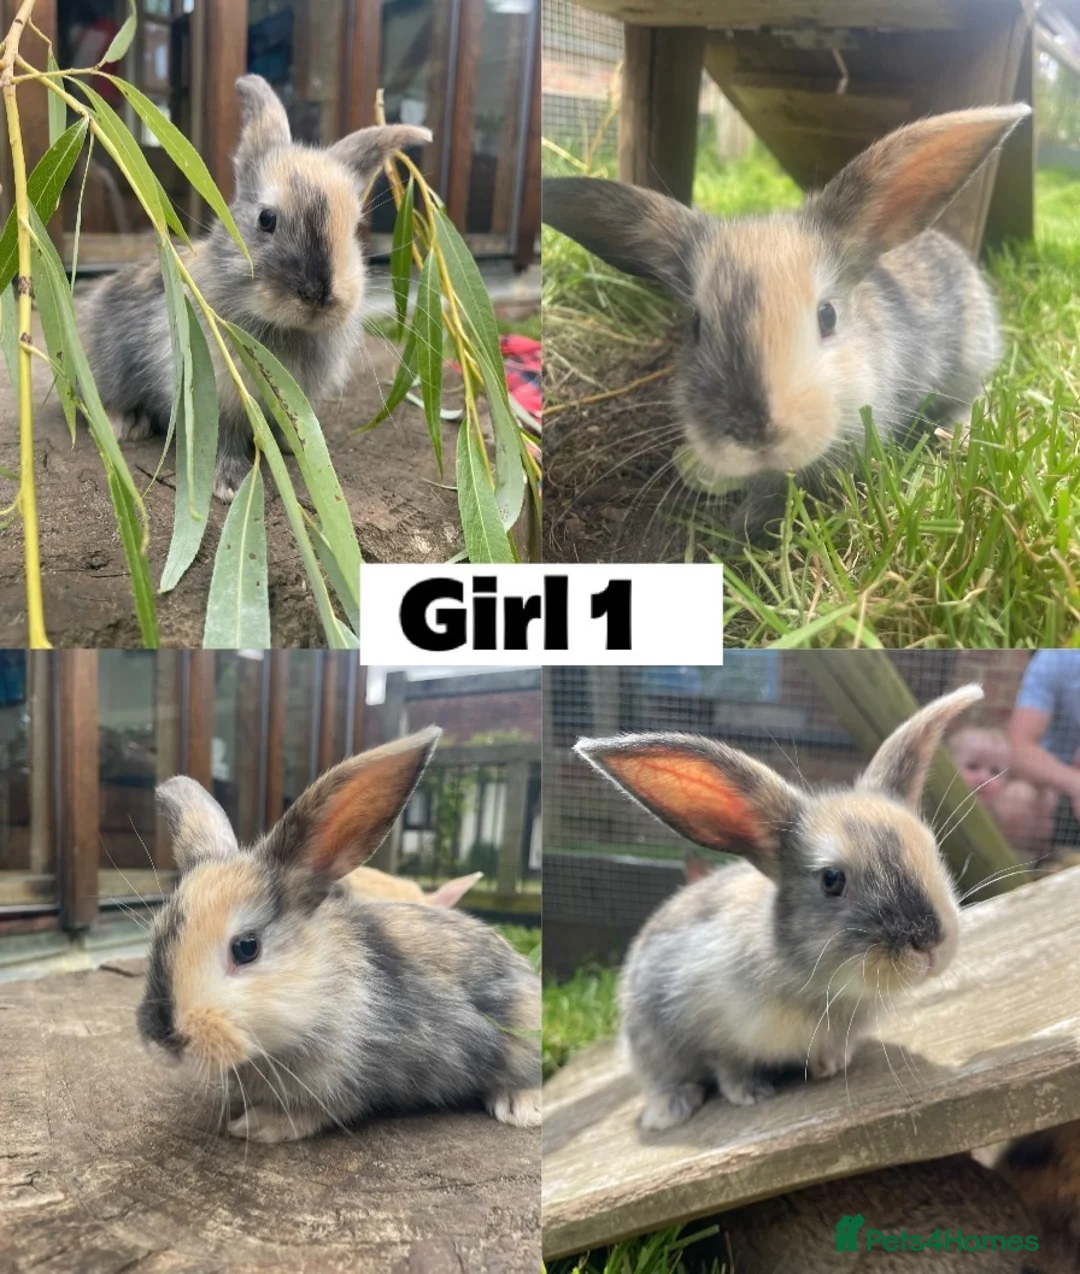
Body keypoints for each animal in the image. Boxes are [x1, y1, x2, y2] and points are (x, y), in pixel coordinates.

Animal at [82, 75, 431, 501]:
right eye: (266, 219)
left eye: (353, 228)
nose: (318, 296)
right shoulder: (218, 394)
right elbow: (224, 438)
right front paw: (231, 486)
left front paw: (293, 447)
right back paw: (127, 424)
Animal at [136, 726, 541, 1143]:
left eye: (246, 948)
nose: (163, 1039)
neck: (325, 991)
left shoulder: (347, 1079)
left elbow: (319, 1110)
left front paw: (257, 1125)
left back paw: (520, 1108)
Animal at [574, 683, 982, 1132]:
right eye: (831, 879)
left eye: (931, 850)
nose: (930, 943)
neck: (825, 988)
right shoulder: (710, 1027)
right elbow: (726, 1064)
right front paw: (749, 1093)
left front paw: (829, 1065)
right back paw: (670, 1109)